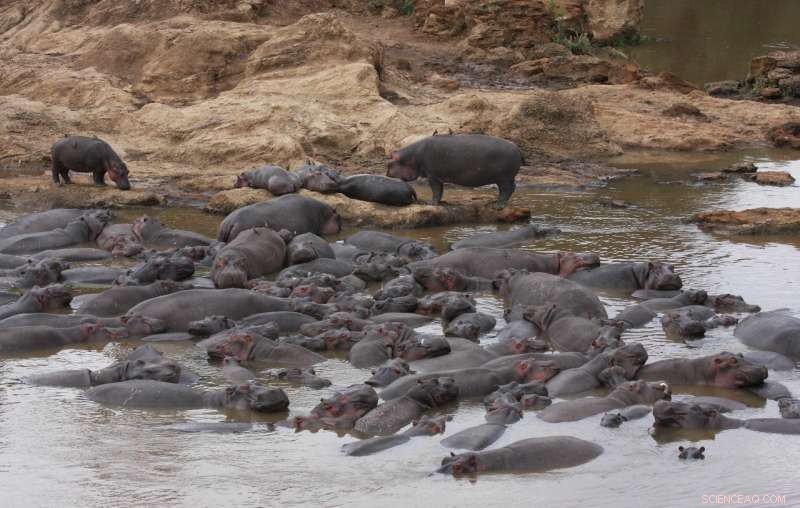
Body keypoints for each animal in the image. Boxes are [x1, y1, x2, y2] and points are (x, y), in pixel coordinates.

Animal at [387, 134, 524, 208]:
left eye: (389, 163)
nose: (386, 174)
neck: (412, 156)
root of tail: (518, 149)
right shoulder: (437, 176)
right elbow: (440, 191)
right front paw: (440, 202)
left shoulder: (432, 175)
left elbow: (436, 190)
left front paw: (431, 203)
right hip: (507, 178)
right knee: (511, 188)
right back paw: (496, 202)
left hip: (503, 178)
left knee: (506, 190)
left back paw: (498, 206)